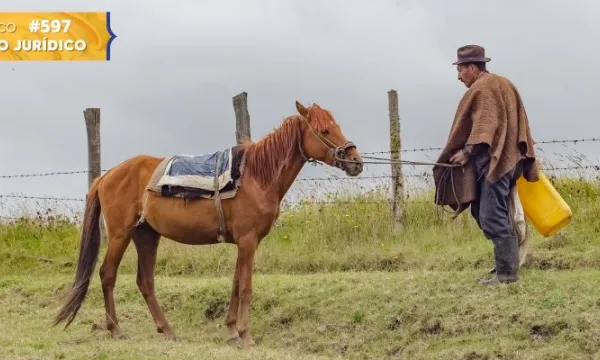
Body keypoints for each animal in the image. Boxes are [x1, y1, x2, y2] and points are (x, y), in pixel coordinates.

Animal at [54, 100, 364, 346]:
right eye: (324, 130)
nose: (356, 161)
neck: (256, 176)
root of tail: (106, 176)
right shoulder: (248, 241)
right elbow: (246, 288)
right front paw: (246, 335)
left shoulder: (244, 242)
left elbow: (236, 284)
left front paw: (232, 332)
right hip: (121, 234)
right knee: (107, 274)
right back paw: (116, 329)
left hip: (147, 235)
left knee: (145, 281)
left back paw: (168, 330)